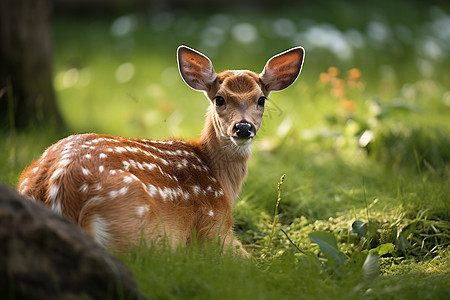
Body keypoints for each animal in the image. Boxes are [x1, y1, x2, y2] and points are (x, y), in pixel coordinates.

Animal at [17, 44, 306, 255]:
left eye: (261, 100)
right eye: (219, 99)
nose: (243, 127)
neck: (221, 181)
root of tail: (59, 190)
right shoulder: (214, 227)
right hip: (139, 228)